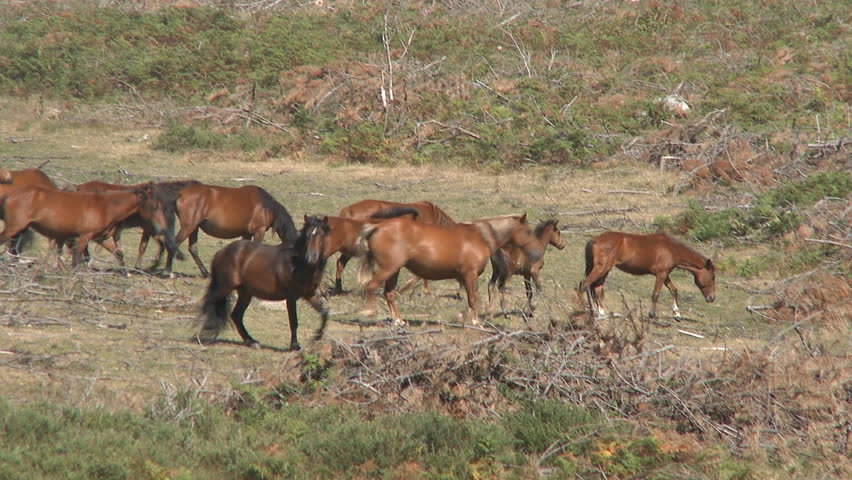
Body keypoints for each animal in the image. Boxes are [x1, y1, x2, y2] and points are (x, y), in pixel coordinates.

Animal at [0, 184, 174, 268]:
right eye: (154, 207)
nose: (162, 229)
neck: (105, 206)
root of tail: (11, 195)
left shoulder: (99, 238)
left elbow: (118, 253)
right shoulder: (83, 237)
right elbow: (76, 262)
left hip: (20, 230)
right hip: (14, 228)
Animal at [163, 183, 298, 277]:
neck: (266, 207)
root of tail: (180, 194)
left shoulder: (247, 234)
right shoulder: (259, 231)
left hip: (194, 228)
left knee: (193, 248)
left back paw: (206, 273)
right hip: (188, 227)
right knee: (173, 244)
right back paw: (168, 272)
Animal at [197, 215, 332, 350]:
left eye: (321, 235)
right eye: (307, 235)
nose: (311, 258)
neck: (298, 264)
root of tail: (220, 253)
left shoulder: (309, 295)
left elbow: (324, 313)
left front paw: (317, 337)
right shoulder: (291, 297)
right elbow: (294, 322)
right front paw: (295, 346)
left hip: (245, 293)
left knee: (236, 315)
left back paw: (251, 341)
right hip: (223, 287)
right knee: (208, 303)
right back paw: (201, 336)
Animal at [355, 214, 541, 326]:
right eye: (527, 231)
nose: (537, 252)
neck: (480, 236)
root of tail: (377, 227)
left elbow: (471, 299)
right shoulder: (470, 274)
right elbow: (473, 299)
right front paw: (475, 322)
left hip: (394, 270)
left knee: (389, 294)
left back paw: (399, 320)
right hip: (389, 269)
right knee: (371, 286)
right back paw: (370, 312)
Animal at [578, 231, 716, 320]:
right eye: (713, 277)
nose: (712, 298)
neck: (672, 249)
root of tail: (594, 240)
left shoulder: (665, 274)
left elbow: (674, 290)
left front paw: (677, 314)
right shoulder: (661, 274)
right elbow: (655, 294)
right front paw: (652, 314)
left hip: (605, 270)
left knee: (596, 289)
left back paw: (601, 313)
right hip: (601, 269)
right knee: (584, 284)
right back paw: (583, 309)